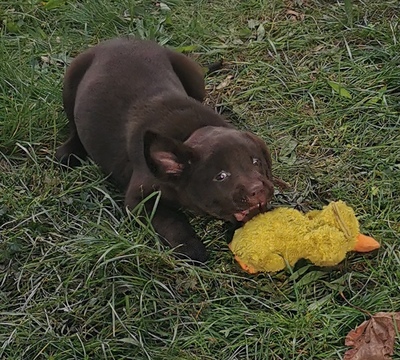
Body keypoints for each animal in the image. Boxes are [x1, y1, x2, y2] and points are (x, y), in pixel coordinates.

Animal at [56, 38, 274, 262]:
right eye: (221, 176)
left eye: (256, 162)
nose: (257, 190)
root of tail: (119, 39)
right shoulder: (138, 200)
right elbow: (172, 221)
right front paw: (191, 248)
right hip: (71, 81)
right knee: (73, 124)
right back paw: (68, 152)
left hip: (192, 75)